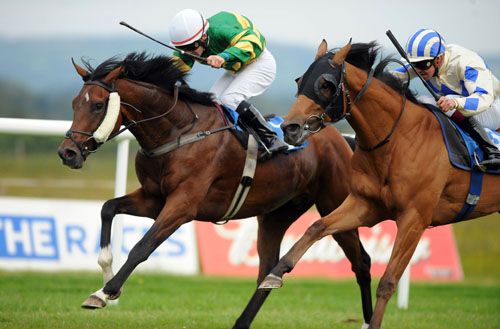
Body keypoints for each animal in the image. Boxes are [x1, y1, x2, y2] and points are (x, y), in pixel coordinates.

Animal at [56, 52, 374, 326]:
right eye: (73, 103)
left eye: (98, 105)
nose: (67, 153)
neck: (178, 131)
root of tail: (341, 139)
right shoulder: (153, 199)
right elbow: (108, 208)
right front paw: (104, 274)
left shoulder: (183, 205)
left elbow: (142, 246)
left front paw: (105, 291)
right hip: (276, 214)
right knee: (267, 271)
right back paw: (242, 322)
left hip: (336, 205)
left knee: (362, 262)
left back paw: (368, 320)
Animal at [258, 39, 500, 326]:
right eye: (300, 81)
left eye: (326, 84)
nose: (289, 128)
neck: (398, 140)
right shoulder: (364, 204)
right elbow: (316, 227)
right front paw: (275, 273)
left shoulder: (414, 219)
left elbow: (388, 282)